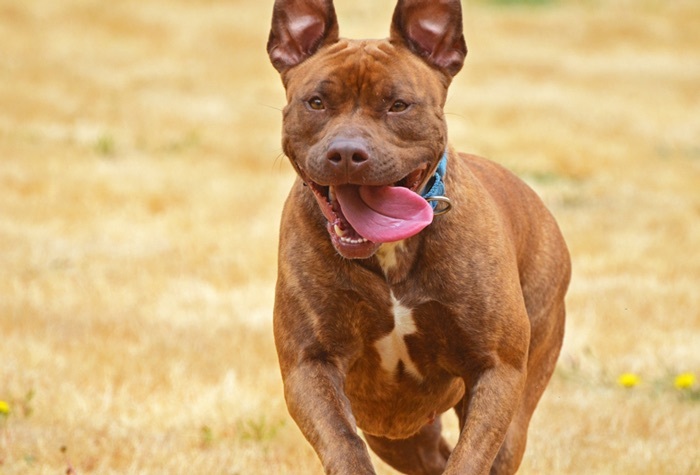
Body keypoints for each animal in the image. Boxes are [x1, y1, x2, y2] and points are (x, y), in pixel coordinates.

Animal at [266, 1, 568, 474]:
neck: (390, 253)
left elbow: (470, 456)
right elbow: (343, 443)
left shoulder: (496, 369)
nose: (346, 153)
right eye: (316, 102)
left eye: (398, 105)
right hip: (396, 433)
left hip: (516, 407)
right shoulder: (310, 364)